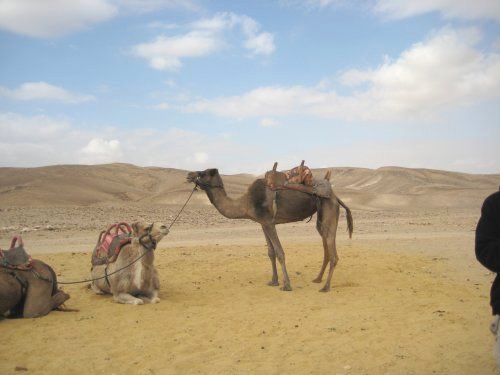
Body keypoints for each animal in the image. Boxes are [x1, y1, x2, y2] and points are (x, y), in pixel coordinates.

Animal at [186, 168, 354, 294]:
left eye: (203, 172)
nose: (189, 175)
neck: (246, 203)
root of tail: (335, 196)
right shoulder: (263, 223)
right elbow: (271, 253)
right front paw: (274, 281)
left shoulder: (269, 223)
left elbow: (280, 253)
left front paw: (287, 285)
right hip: (321, 218)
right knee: (326, 248)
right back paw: (318, 279)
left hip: (329, 210)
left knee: (333, 252)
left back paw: (325, 287)